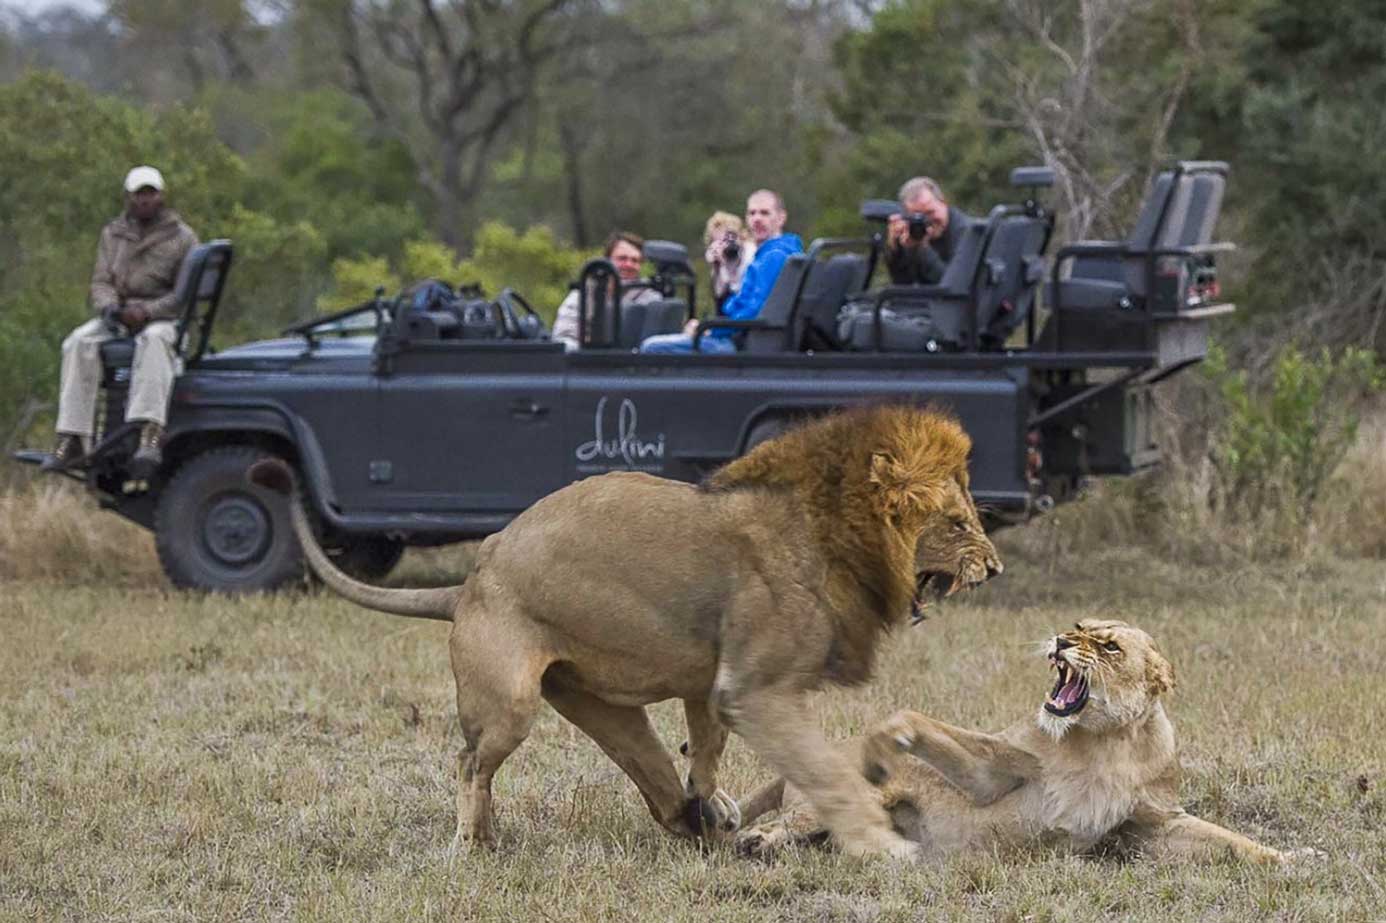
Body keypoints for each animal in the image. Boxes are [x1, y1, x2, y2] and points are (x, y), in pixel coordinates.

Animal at [249, 404, 1003, 853]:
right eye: (957, 522)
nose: (993, 567)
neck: (833, 534)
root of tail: (471, 580)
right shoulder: (754, 689)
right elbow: (823, 769)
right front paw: (883, 843)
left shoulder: (713, 683)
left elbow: (707, 746)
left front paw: (718, 799)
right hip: (509, 702)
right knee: (468, 762)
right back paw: (472, 845)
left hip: (600, 706)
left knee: (655, 781)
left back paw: (700, 822)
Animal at [737, 618, 1308, 864]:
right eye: (1077, 625)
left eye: (1108, 645)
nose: (1060, 639)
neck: (1110, 741)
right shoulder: (993, 774)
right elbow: (918, 720)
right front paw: (884, 739)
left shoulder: (1155, 823)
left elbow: (1232, 841)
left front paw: (1294, 858)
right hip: (825, 801)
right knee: (790, 823)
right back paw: (754, 841)